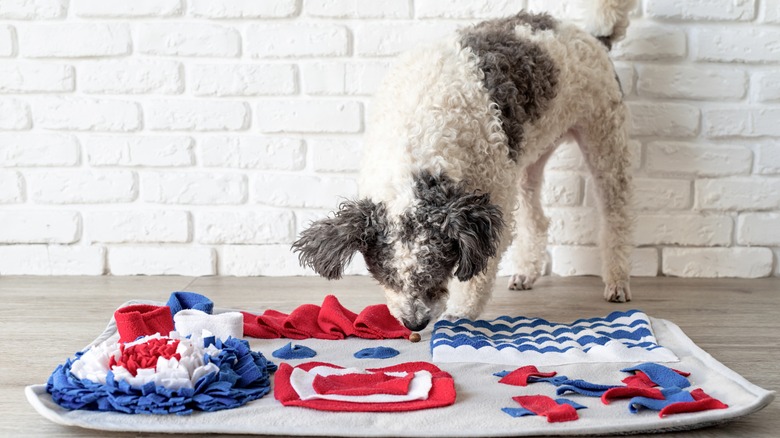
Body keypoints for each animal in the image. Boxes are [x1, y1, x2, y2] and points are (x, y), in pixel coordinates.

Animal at [296, 0, 636, 332]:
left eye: (437, 272)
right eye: (386, 276)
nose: (415, 323)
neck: (418, 138)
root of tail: (593, 37)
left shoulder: (489, 207)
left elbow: (477, 273)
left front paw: (460, 314)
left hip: (604, 139)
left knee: (616, 215)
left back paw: (617, 281)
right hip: (529, 158)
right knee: (537, 219)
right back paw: (527, 272)